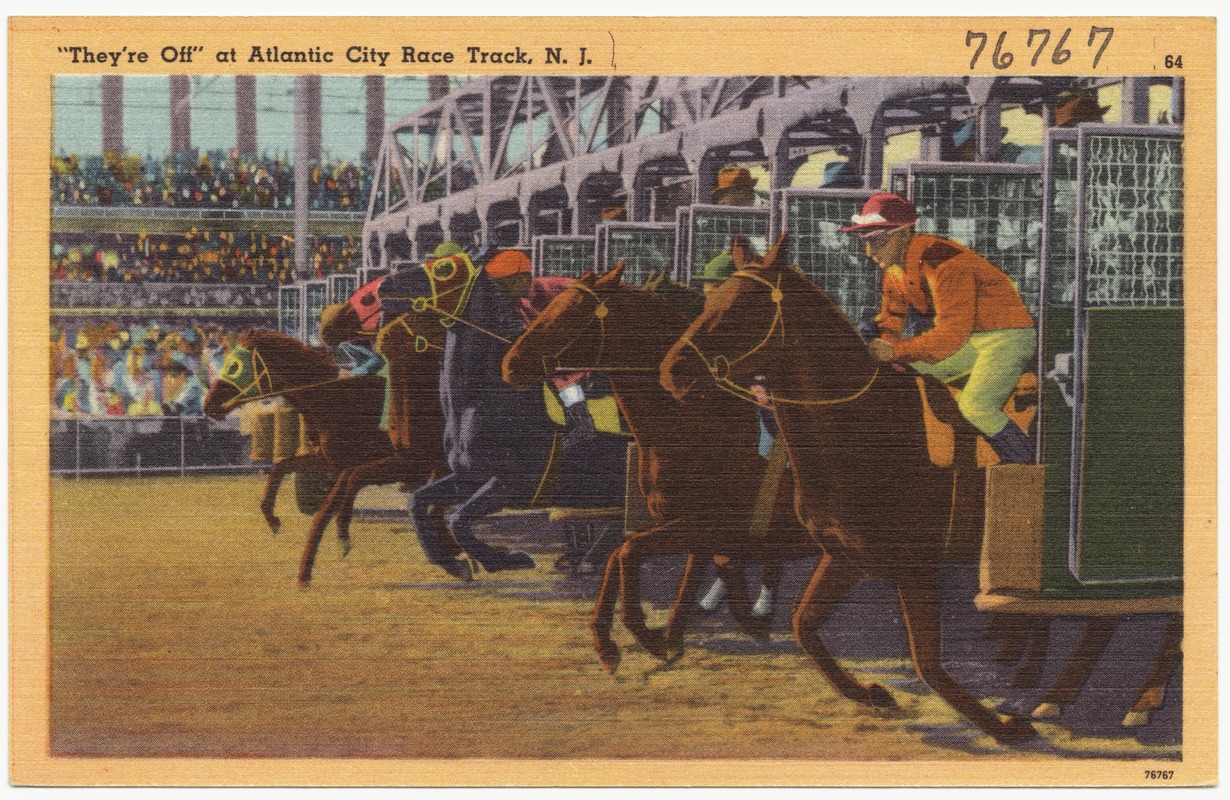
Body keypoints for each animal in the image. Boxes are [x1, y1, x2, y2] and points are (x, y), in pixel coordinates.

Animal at [499, 264, 816, 669]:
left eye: (570, 314)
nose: (510, 364)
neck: (695, 421)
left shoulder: (702, 523)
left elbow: (629, 552)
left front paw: (647, 634)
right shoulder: (688, 524)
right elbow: (633, 558)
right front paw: (620, 639)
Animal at [664, 235, 1038, 743]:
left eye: (742, 307)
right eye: (710, 302)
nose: (671, 370)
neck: (864, 426)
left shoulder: (917, 566)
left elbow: (927, 662)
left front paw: (1002, 728)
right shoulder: (846, 555)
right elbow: (803, 625)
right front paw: (873, 693)